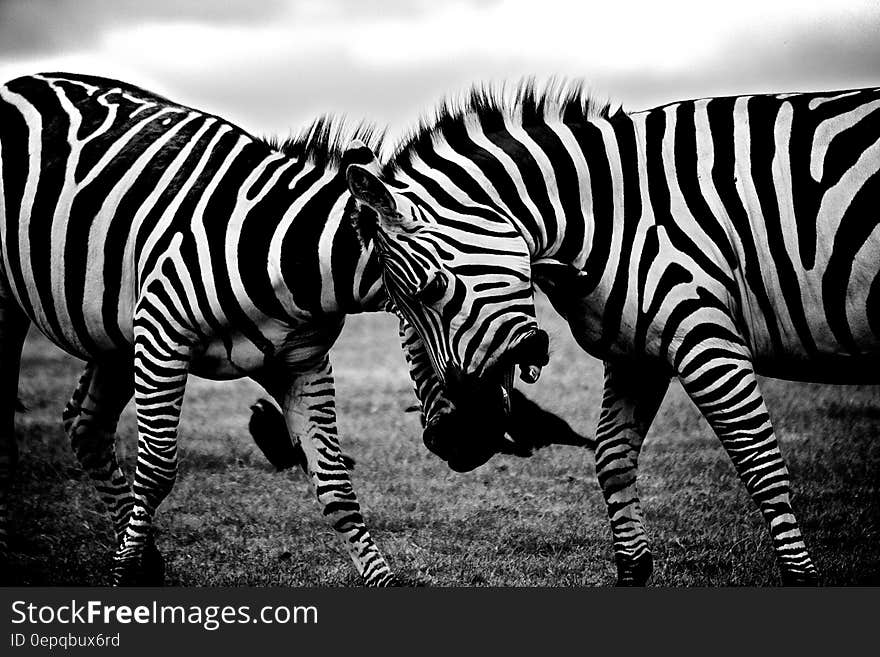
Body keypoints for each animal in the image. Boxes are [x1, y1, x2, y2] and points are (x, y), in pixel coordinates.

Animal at [342, 80, 880, 584]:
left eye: (432, 288)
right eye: (396, 310)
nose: (451, 442)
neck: (615, 214)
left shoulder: (707, 338)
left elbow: (761, 465)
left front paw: (800, 578)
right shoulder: (635, 354)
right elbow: (612, 459)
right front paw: (632, 569)